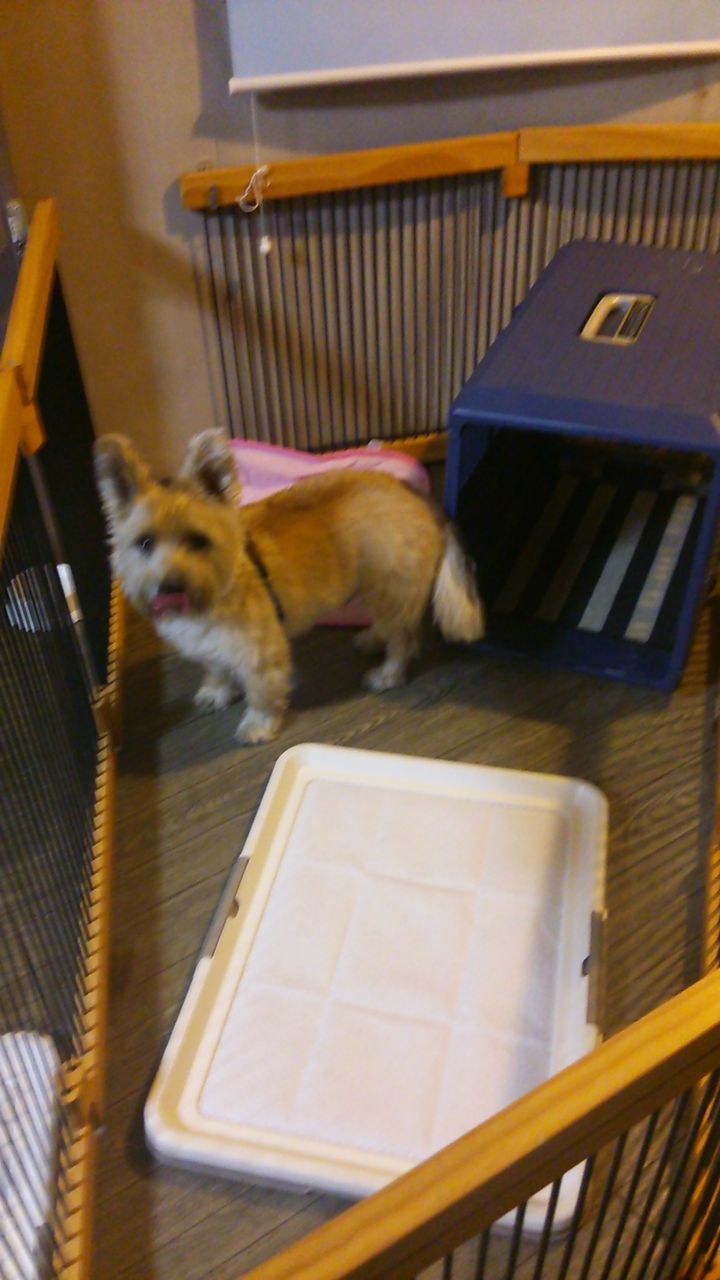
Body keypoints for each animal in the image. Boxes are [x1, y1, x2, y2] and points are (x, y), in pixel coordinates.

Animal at [94, 430, 484, 744]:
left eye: (197, 541)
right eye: (145, 543)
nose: (170, 587)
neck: (218, 588)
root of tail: (421, 501)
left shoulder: (260, 653)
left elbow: (261, 694)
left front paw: (258, 725)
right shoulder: (210, 649)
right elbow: (216, 669)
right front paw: (216, 692)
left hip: (388, 590)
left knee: (404, 640)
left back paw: (387, 674)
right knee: (393, 629)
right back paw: (373, 638)